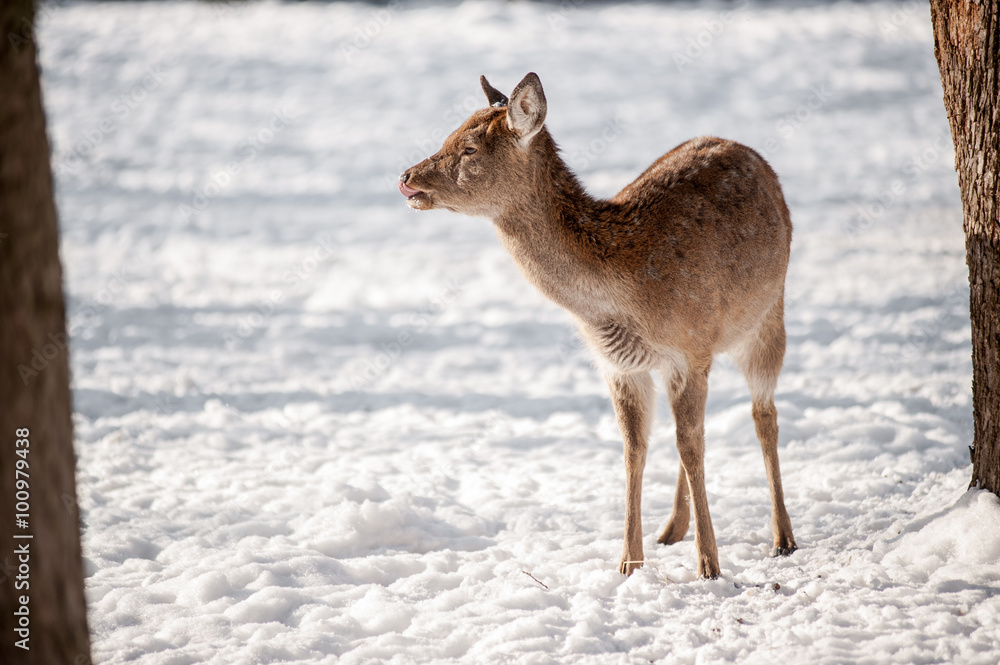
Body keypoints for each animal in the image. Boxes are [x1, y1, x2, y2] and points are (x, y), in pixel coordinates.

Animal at [397, 73, 797, 579]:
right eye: (448, 135)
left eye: (469, 148)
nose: (406, 177)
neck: (619, 298)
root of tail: (754, 156)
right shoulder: (622, 365)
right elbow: (635, 449)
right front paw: (629, 562)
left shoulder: (688, 349)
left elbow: (690, 447)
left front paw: (709, 566)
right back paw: (672, 529)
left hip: (768, 314)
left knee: (762, 415)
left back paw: (782, 537)